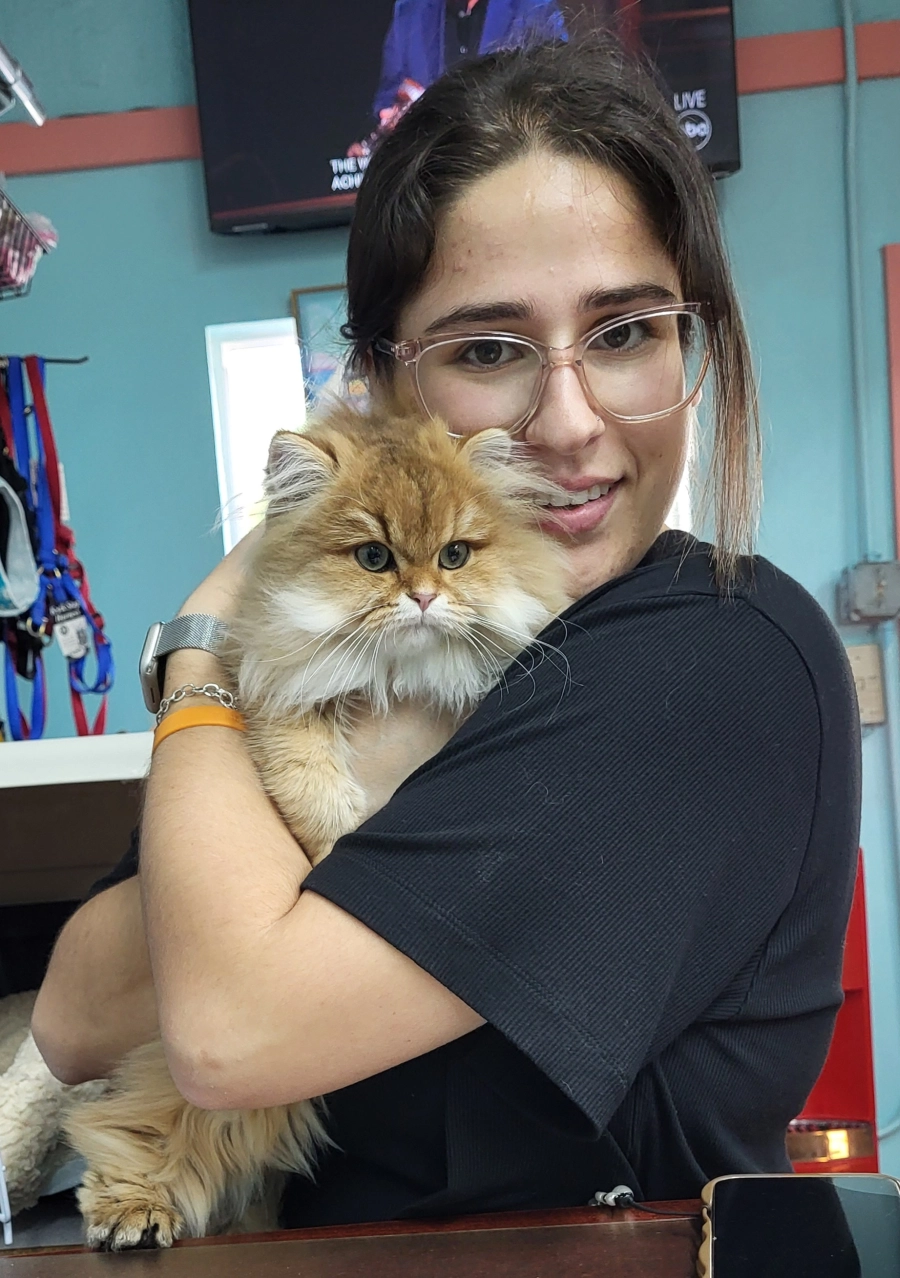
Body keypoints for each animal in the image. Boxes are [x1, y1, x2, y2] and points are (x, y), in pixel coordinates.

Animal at [62, 402, 571, 1250]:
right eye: (373, 557)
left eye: (455, 556)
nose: (424, 597)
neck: (397, 679)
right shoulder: (284, 714)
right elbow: (316, 796)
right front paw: (335, 846)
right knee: (146, 1132)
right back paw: (131, 1212)